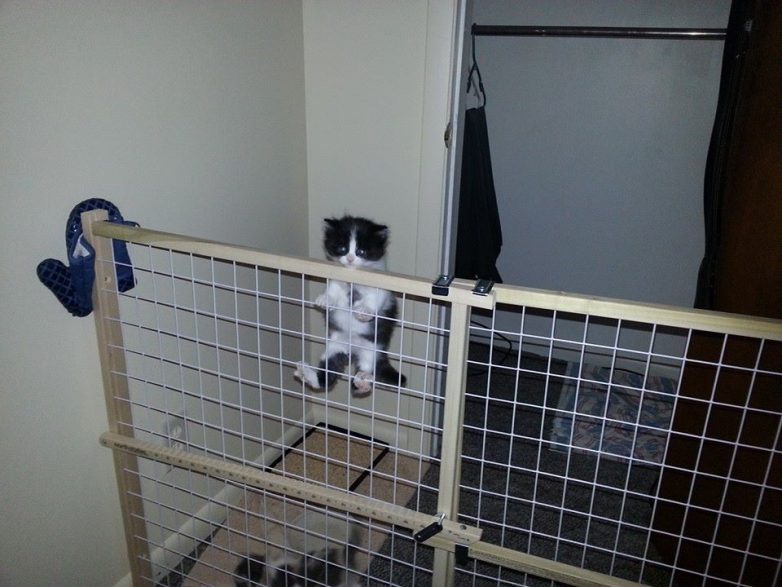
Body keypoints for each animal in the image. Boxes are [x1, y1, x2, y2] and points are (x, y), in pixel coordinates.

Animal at [294, 215, 406, 394]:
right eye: (342, 248)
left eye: (361, 251)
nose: (350, 258)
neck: (353, 281)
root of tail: (353, 350)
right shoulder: (336, 279)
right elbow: (332, 289)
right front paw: (325, 299)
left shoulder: (382, 286)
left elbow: (375, 298)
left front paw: (364, 310)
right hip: (335, 346)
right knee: (327, 372)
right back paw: (308, 374)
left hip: (372, 348)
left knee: (367, 367)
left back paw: (363, 381)